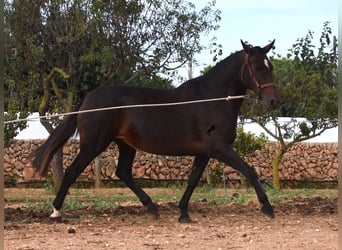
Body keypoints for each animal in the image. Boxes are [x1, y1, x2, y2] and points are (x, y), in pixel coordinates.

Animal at [32, 39, 280, 223]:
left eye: (271, 67)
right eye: (257, 67)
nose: (273, 101)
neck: (213, 98)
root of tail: (87, 99)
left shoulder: (204, 152)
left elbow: (193, 179)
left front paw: (183, 213)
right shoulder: (219, 148)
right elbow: (250, 171)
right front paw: (267, 207)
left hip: (125, 144)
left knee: (123, 172)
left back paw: (151, 207)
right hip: (94, 144)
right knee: (73, 171)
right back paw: (56, 212)